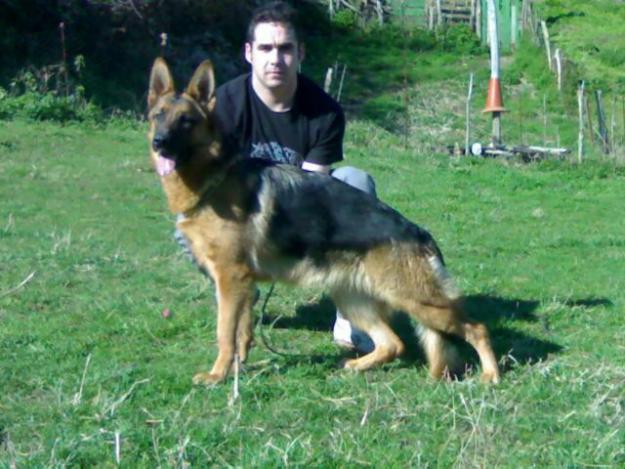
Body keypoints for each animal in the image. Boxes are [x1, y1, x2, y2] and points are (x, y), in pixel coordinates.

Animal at [149, 58, 500, 384]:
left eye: (186, 121)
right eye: (158, 116)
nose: (159, 142)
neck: (214, 176)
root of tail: (420, 234)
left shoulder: (230, 278)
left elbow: (224, 332)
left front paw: (217, 375)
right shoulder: (239, 284)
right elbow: (242, 332)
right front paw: (236, 369)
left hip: (418, 301)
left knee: (477, 328)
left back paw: (491, 375)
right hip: (353, 298)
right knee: (393, 344)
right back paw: (357, 366)